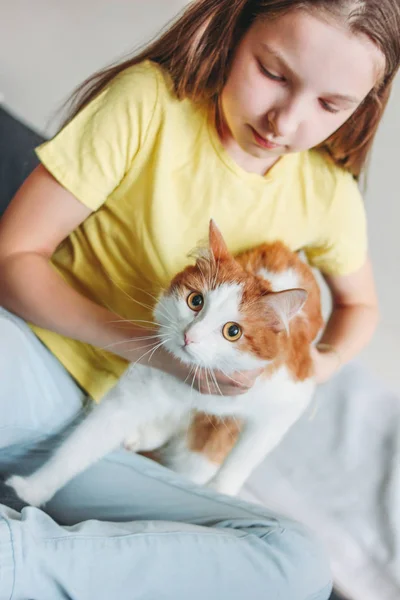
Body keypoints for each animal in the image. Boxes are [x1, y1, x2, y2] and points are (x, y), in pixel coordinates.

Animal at [6, 219, 324, 502]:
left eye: (232, 331)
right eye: (195, 301)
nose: (190, 336)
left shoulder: (286, 401)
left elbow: (242, 458)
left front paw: (219, 490)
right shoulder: (140, 385)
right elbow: (81, 444)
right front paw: (34, 489)